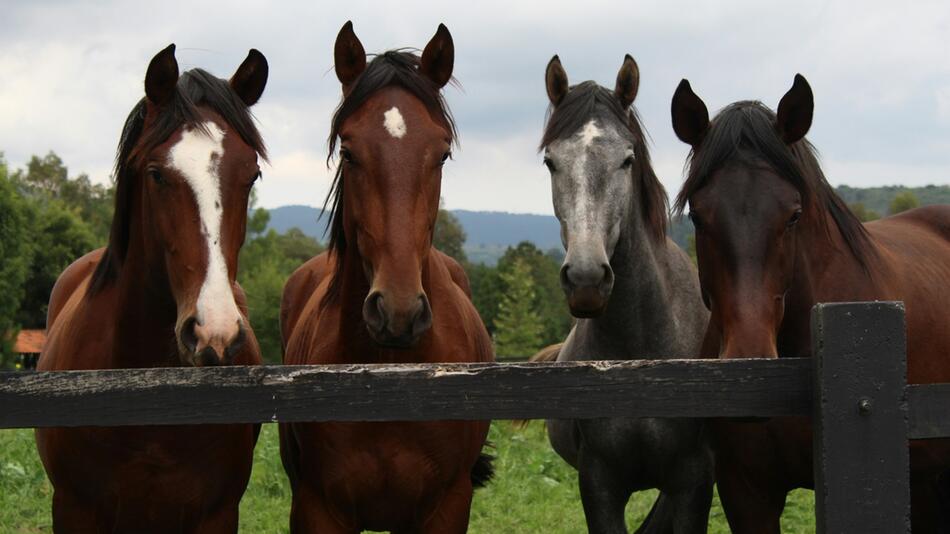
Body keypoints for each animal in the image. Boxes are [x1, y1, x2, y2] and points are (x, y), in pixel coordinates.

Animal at [278, 21, 494, 534]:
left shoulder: (446, 508)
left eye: (442, 153)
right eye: (348, 151)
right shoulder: (317, 509)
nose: (397, 312)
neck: (387, 380)